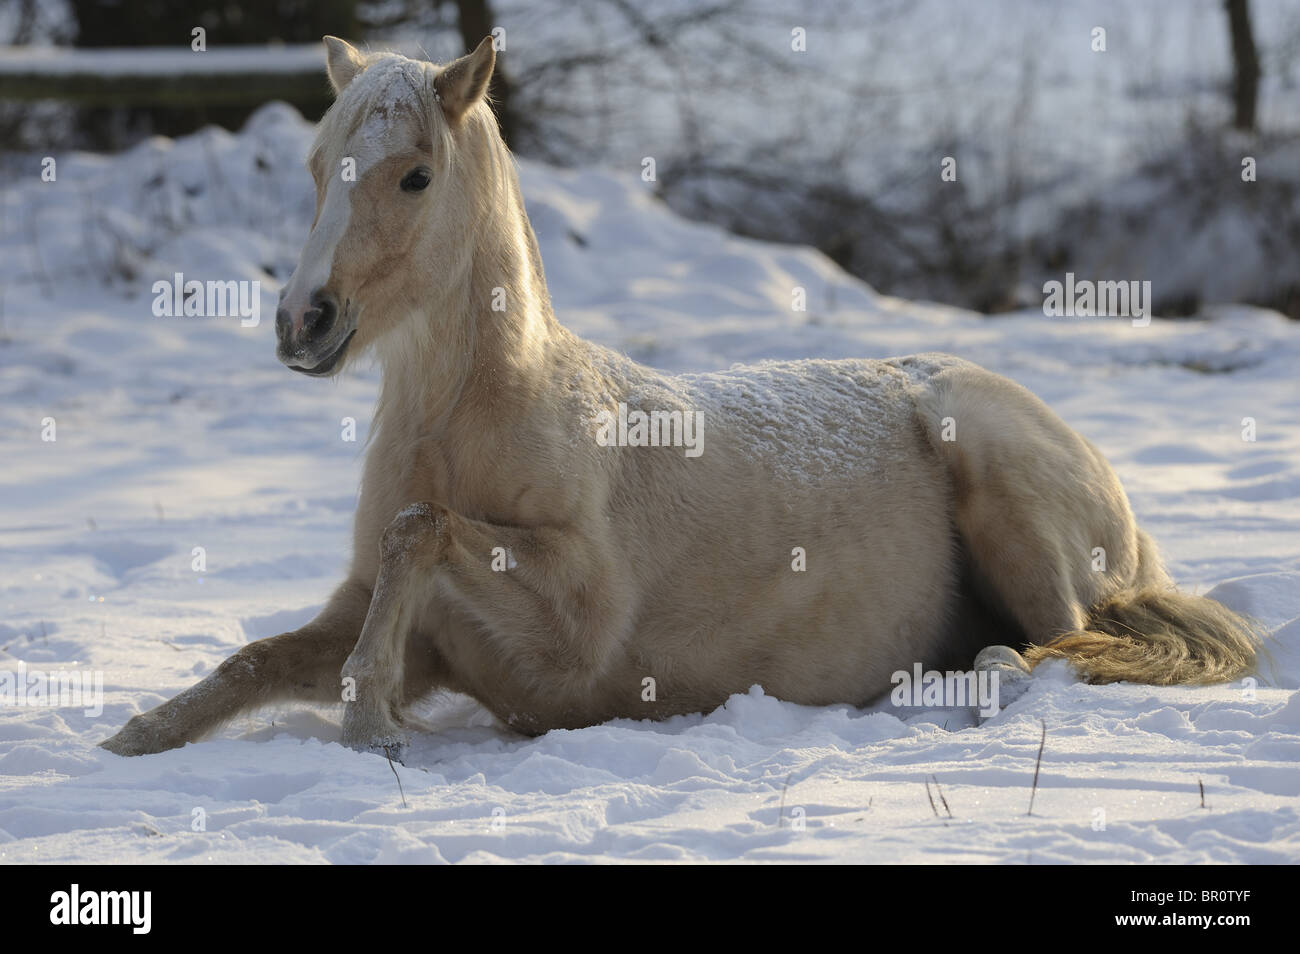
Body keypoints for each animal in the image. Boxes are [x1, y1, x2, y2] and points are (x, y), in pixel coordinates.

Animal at [101, 39, 1258, 764]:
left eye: (414, 175)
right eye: (315, 166)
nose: (304, 321)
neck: (473, 419)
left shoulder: (570, 631)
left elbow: (418, 526)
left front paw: (371, 723)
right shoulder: (410, 627)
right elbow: (258, 655)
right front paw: (135, 737)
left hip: (1010, 503)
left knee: (1058, 644)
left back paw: (969, 679)